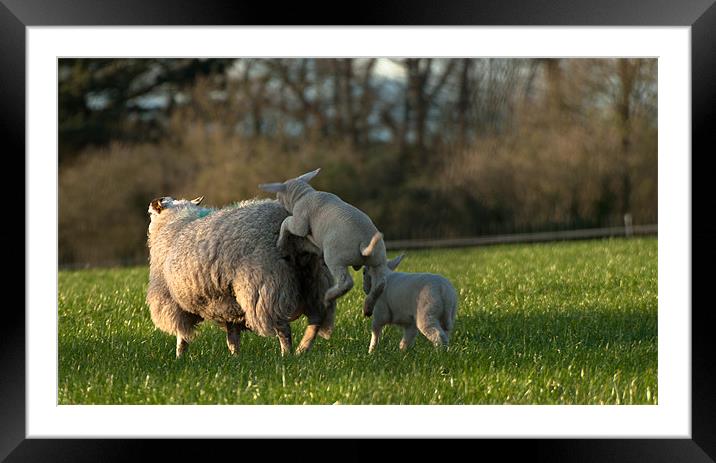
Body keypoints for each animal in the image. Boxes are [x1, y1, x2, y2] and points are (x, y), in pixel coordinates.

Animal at [258, 169, 388, 320]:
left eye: (278, 196)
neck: (303, 195)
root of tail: (364, 244)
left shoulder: (300, 222)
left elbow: (288, 223)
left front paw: (280, 242)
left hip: (335, 257)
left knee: (346, 283)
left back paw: (328, 298)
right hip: (378, 259)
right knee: (380, 285)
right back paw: (367, 308)